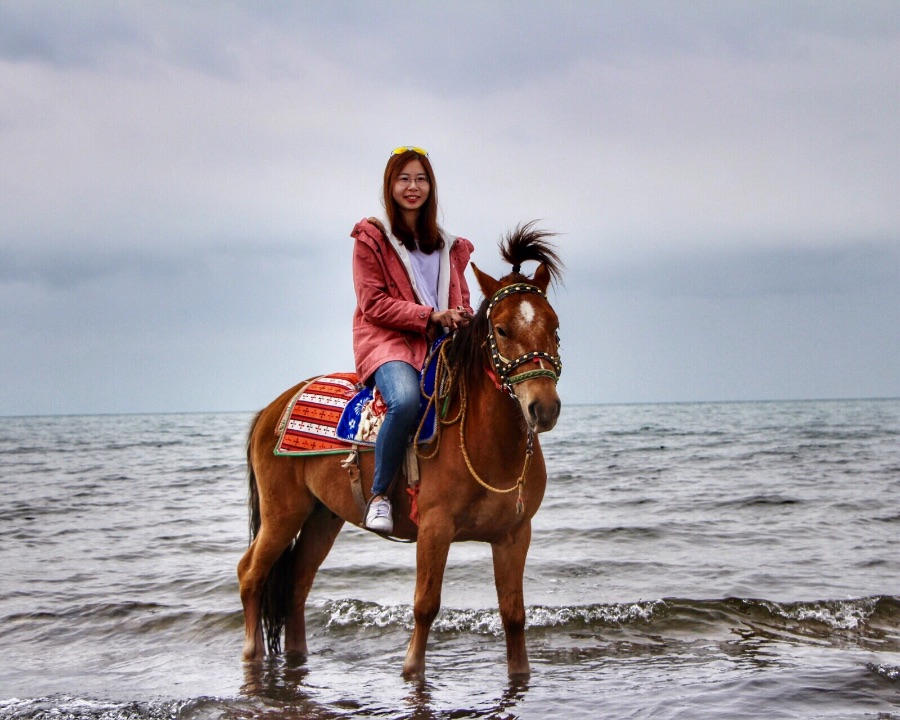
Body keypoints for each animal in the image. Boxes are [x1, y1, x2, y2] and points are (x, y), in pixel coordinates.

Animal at [237, 223, 563, 680]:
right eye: (501, 330)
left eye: (554, 326)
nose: (543, 408)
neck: (488, 447)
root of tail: (272, 409)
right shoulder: (434, 529)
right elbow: (426, 604)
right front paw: (412, 671)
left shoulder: (515, 535)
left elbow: (514, 615)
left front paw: (519, 674)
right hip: (283, 513)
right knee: (251, 573)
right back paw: (251, 654)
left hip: (322, 518)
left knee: (296, 583)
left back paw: (298, 656)